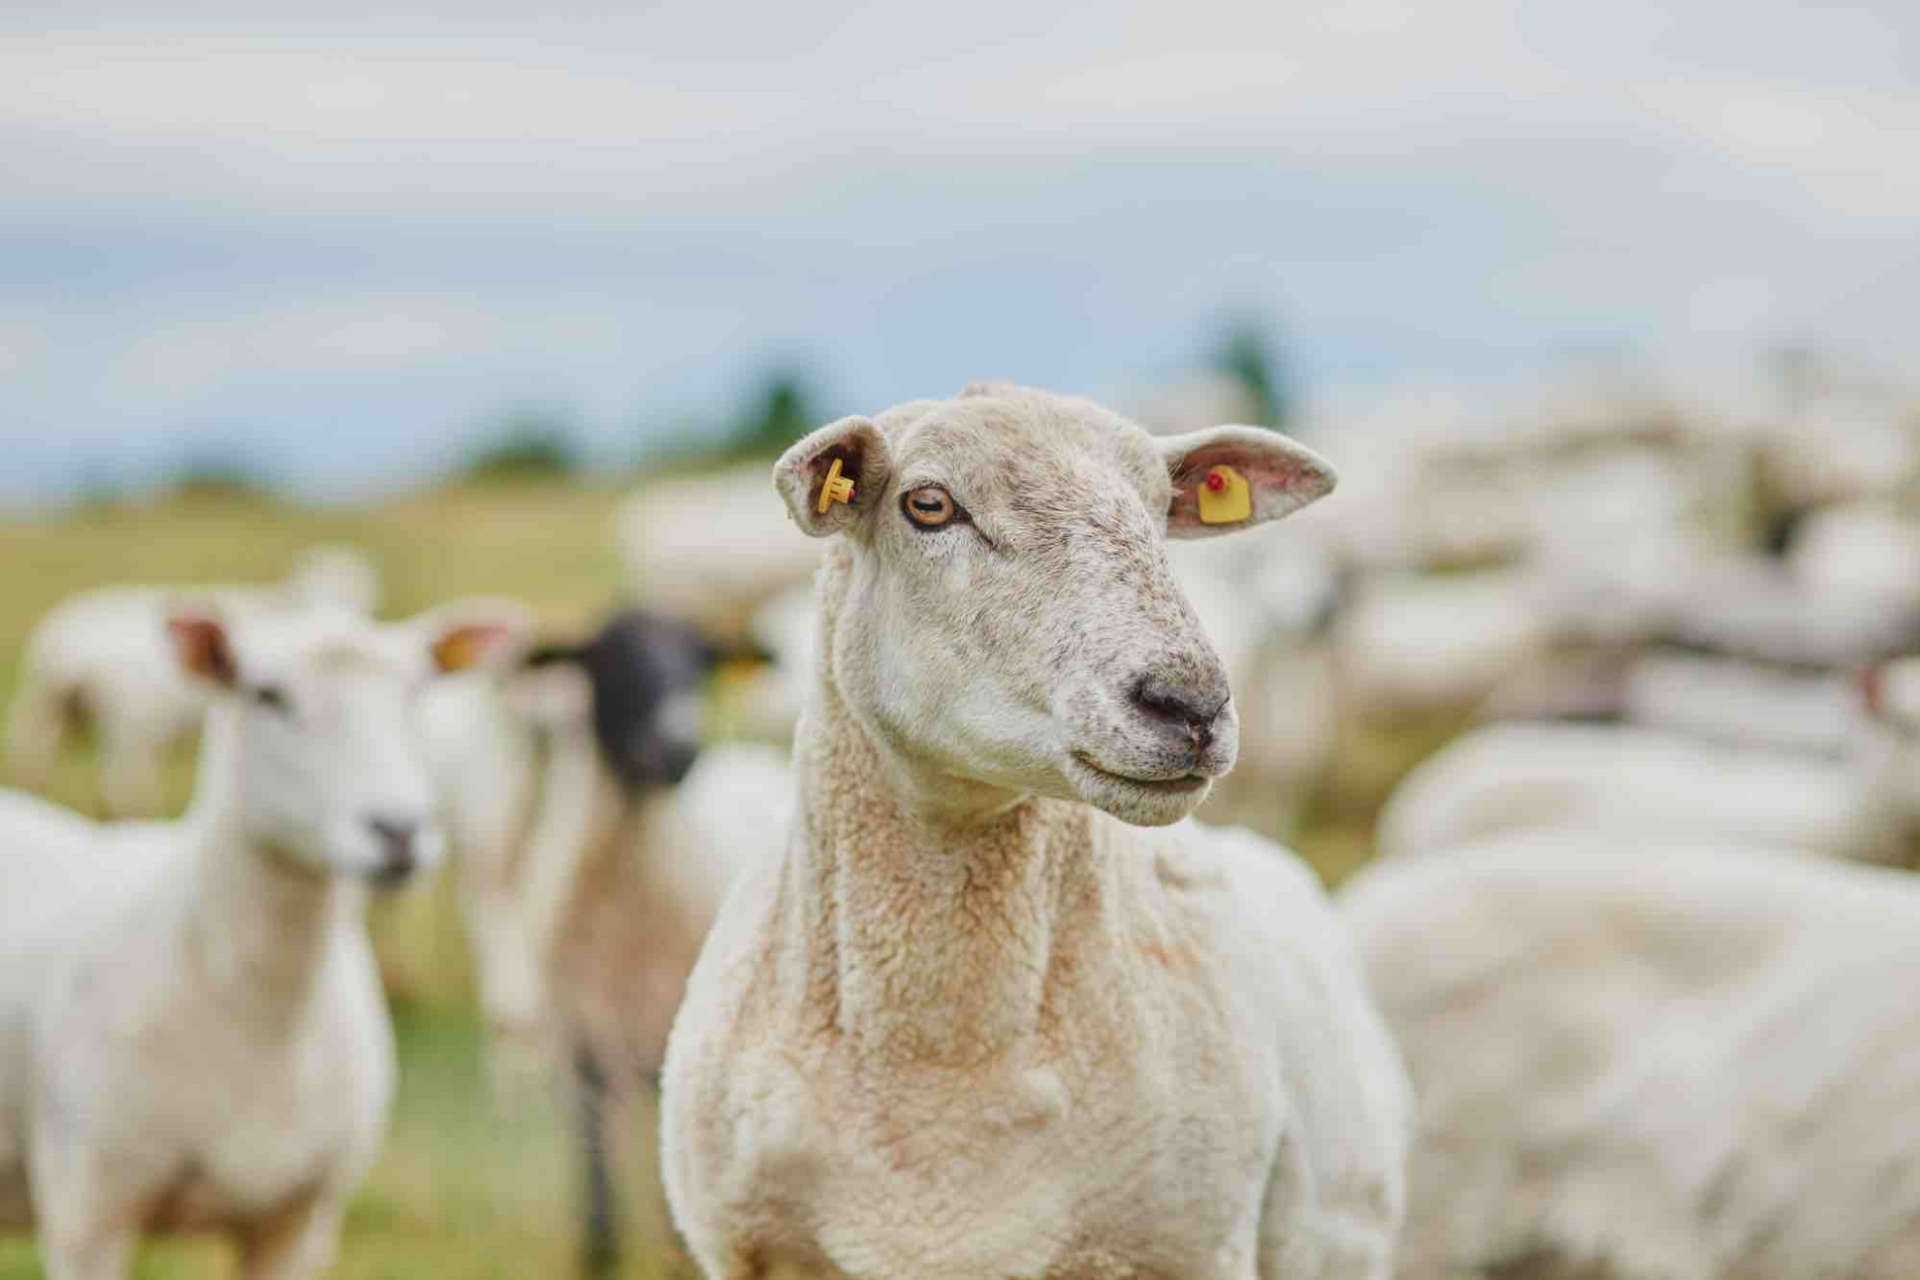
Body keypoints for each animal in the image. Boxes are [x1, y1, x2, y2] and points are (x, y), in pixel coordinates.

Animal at [2, 545, 385, 817]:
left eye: (363, 593)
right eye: (309, 589)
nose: (341, 618)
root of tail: (61, 634)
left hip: (56, 707)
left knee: (40, 750)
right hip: (127, 719)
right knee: (121, 777)